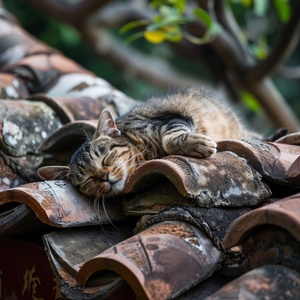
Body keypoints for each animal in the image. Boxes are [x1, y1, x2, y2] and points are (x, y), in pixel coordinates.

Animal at [38, 87, 256, 199]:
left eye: (106, 158)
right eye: (87, 179)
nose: (104, 177)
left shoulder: (170, 119)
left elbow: (171, 138)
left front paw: (198, 144)